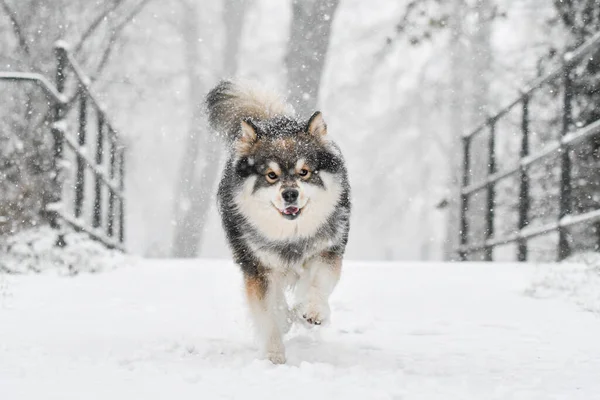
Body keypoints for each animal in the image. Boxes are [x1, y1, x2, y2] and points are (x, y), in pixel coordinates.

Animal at [205, 79, 350, 364]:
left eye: (304, 172)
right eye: (271, 175)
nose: (290, 194)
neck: (291, 234)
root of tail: (273, 120)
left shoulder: (328, 250)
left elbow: (317, 284)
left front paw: (313, 311)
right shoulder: (258, 268)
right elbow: (267, 314)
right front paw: (274, 355)